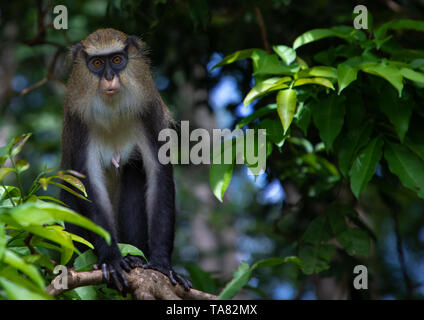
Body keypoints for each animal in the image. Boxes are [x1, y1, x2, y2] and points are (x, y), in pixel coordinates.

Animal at [59, 29, 192, 292]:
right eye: (97, 63)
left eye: (117, 60)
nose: (110, 77)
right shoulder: (78, 120)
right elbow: (87, 182)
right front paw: (111, 259)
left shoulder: (150, 113)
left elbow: (158, 174)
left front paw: (162, 264)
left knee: (134, 169)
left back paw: (134, 257)